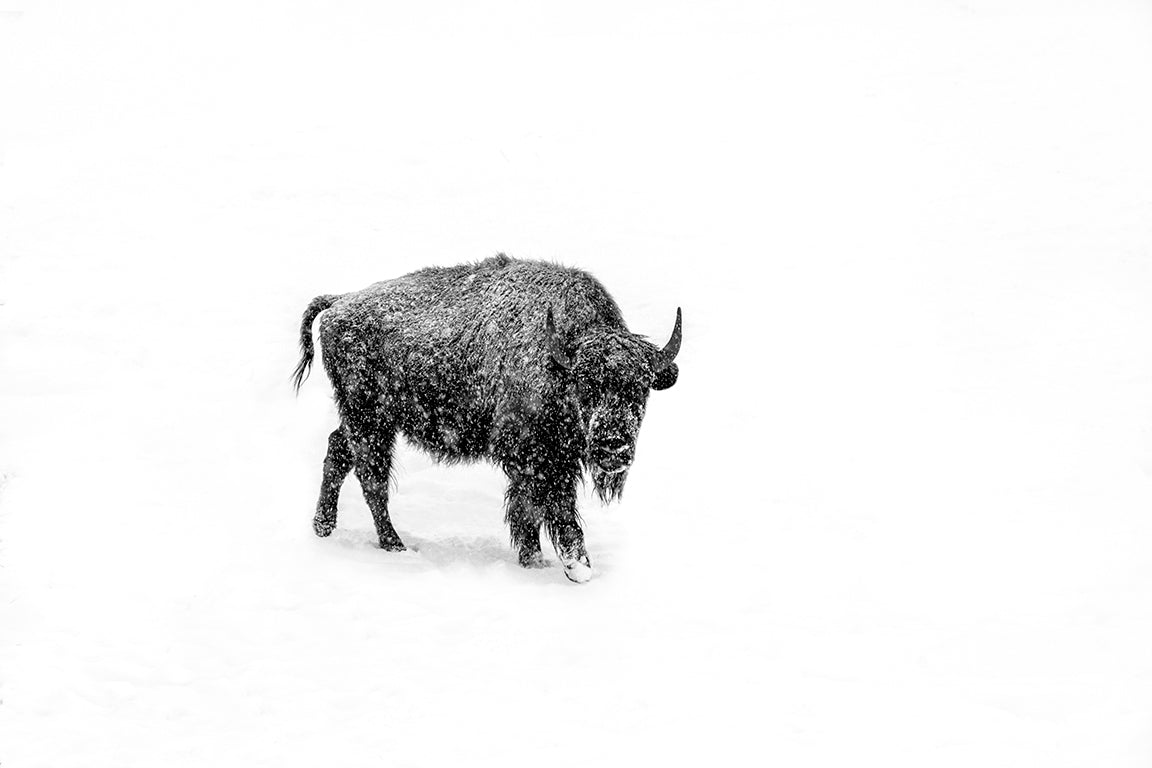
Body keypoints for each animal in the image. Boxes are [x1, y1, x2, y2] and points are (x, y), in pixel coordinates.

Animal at [293, 254, 681, 582]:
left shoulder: (557, 458)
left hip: (367, 420)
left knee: (339, 453)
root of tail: (339, 302)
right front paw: (569, 566)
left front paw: (541, 561)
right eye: (586, 384)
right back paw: (393, 544)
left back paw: (324, 527)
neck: (559, 361)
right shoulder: (533, 458)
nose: (613, 446)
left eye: (640, 387)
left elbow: (535, 509)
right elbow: (545, 508)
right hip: (370, 419)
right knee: (371, 477)